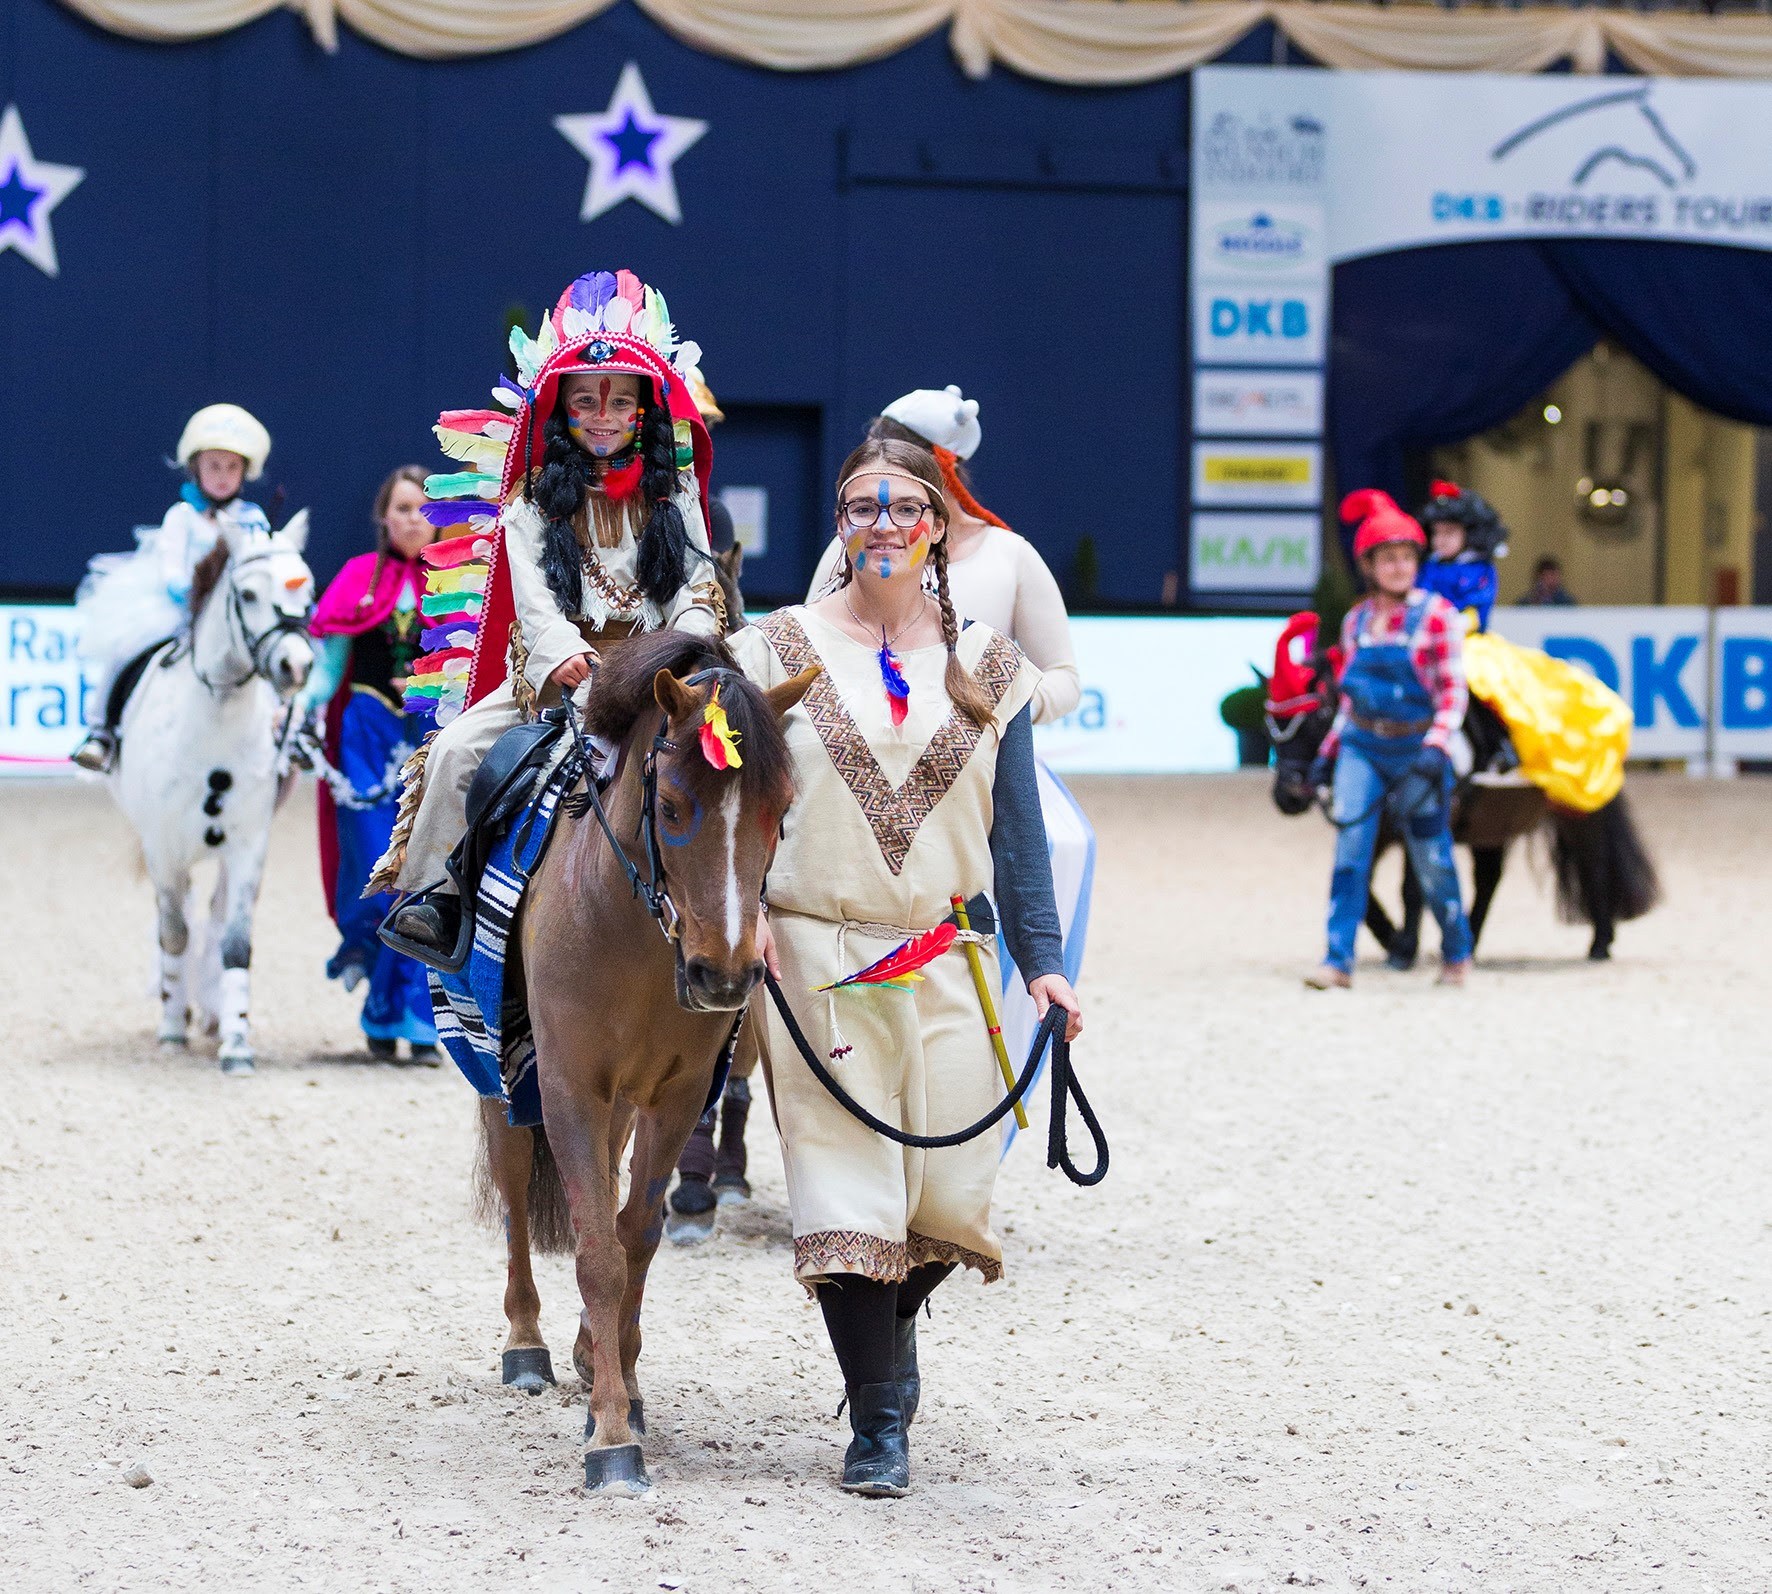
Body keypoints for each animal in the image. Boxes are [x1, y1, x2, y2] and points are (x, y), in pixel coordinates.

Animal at [108, 517, 317, 1076]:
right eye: (247, 594)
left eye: (308, 593)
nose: (296, 666)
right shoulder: (163, 849)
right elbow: (175, 933)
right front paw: (170, 1028)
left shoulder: (248, 846)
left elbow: (236, 943)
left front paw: (237, 1043)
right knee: (175, 921)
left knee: (218, 916)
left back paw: (215, 1014)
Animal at [478, 626, 822, 1494]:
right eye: (669, 806)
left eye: (780, 812)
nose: (723, 975)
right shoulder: (567, 1086)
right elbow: (597, 1253)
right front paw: (610, 1440)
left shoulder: (675, 1096)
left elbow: (634, 1237)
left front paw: (624, 1393)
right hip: (502, 1076)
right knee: (512, 1185)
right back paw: (526, 1345)